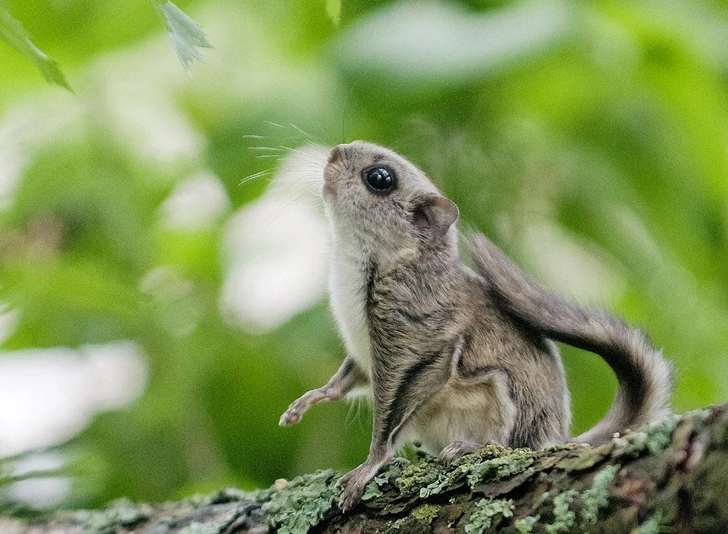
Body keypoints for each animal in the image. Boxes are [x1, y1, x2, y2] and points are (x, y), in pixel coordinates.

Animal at [278, 140, 672, 512]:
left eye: (379, 178)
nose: (333, 153)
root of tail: (553, 439)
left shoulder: (413, 343)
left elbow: (389, 420)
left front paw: (369, 467)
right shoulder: (364, 355)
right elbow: (342, 382)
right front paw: (308, 400)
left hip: (500, 395)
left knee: (504, 444)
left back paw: (468, 448)